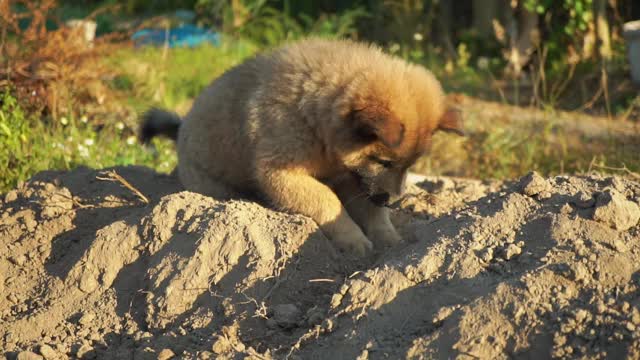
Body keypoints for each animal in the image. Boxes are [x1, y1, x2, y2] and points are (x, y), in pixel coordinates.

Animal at [140, 38, 462, 256]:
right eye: (384, 162)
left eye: (410, 166)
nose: (393, 201)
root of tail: (181, 128)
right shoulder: (281, 173)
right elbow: (327, 200)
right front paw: (353, 240)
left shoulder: (354, 177)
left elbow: (370, 211)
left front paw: (390, 241)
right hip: (213, 186)